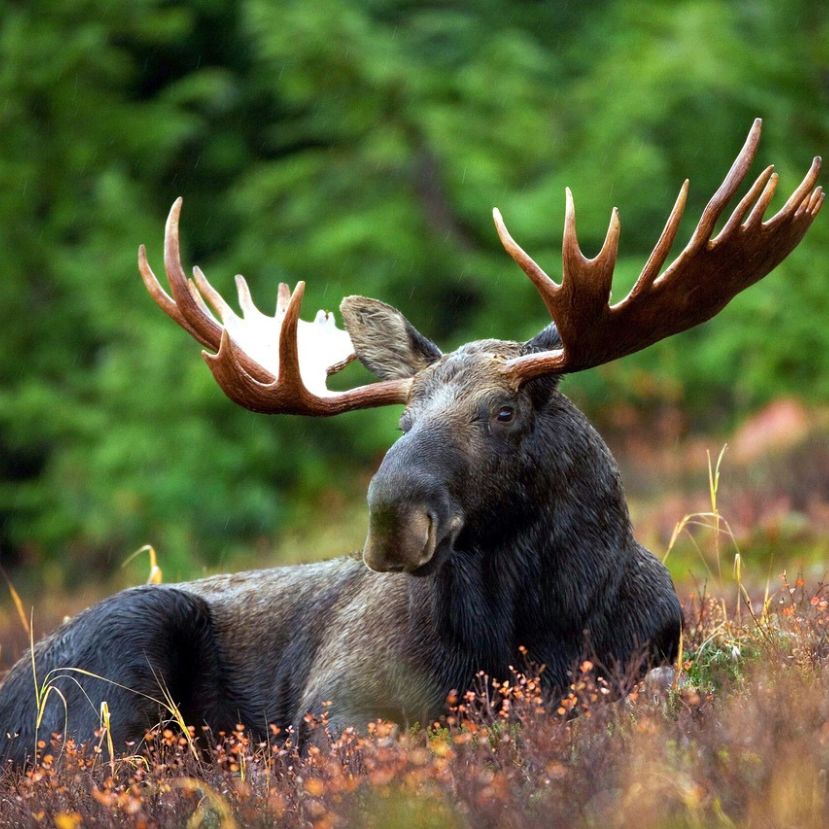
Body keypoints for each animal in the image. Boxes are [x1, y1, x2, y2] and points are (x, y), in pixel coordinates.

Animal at [0, 118, 820, 764]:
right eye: (404, 421)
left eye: (502, 411)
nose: (392, 519)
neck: (537, 627)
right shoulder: (338, 701)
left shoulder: (649, 655)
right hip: (114, 664)